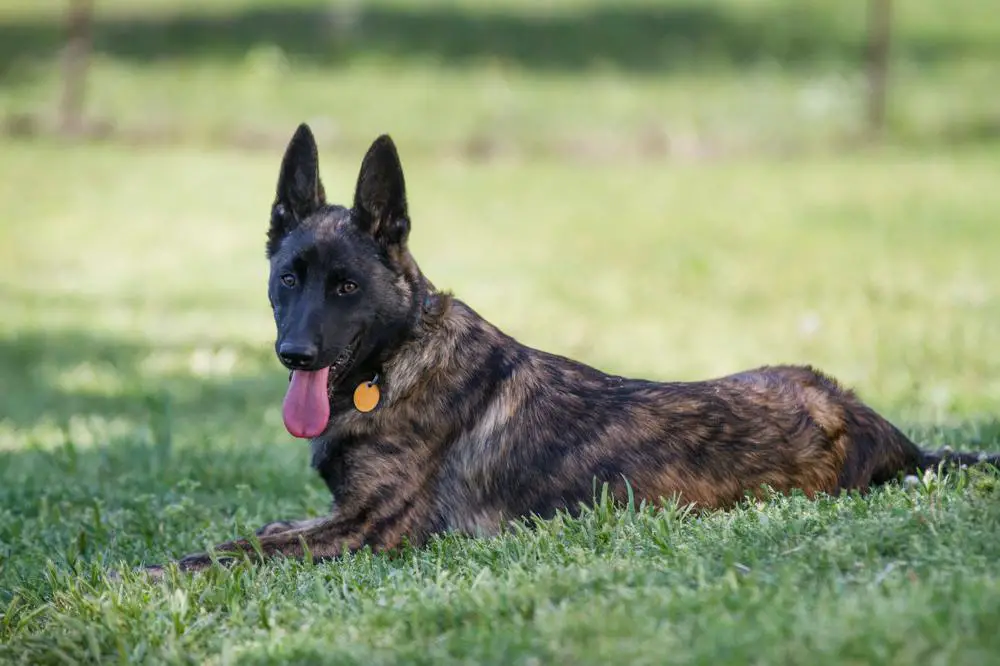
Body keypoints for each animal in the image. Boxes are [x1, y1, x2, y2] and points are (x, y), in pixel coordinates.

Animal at [139, 124, 992, 576]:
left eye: (346, 287)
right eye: (289, 278)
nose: (295, 354)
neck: (400, 356)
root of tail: (882, 427)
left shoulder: (371, 531)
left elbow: (229, 549)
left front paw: (146, 572)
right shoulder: (335, 517)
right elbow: (258, 532)